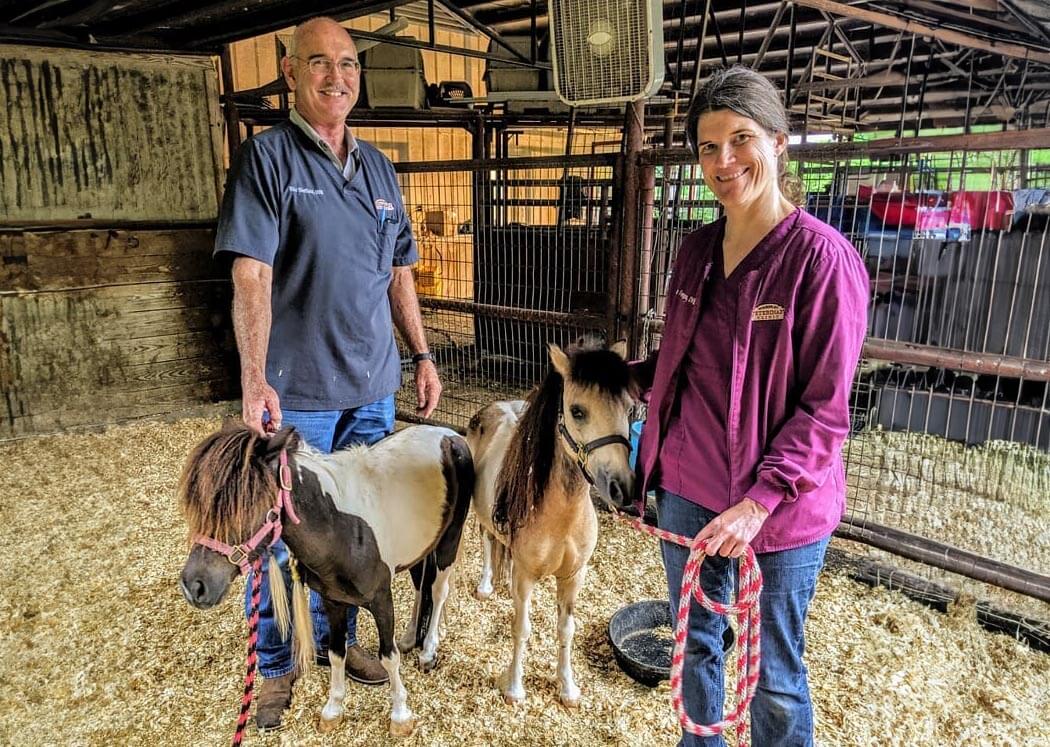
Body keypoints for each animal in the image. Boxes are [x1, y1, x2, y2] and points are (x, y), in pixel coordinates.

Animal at [177, 420, 472, 735]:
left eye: (250, 505)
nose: (195, 586)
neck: (340, 528)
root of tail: (447, 434)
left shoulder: (382, 598)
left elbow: (388, 656)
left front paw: (400, 716)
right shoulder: (334, 600)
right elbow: (335, 653)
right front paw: (333, 710)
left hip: (449, 539)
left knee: (438, 591)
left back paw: (428, 651)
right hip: (421, 547)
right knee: (421, 586)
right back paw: (410, 638)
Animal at [470, 338, 634, 706]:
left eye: (629, 408)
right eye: (577, 411)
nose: (622, 487)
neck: (561, 520)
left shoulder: (573, 577)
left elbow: (565, 630)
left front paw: (568, 688)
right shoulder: (526, 577)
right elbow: (522, 628)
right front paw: (514, 689)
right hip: (482, 515)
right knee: (487, 539)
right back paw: (486, 586)